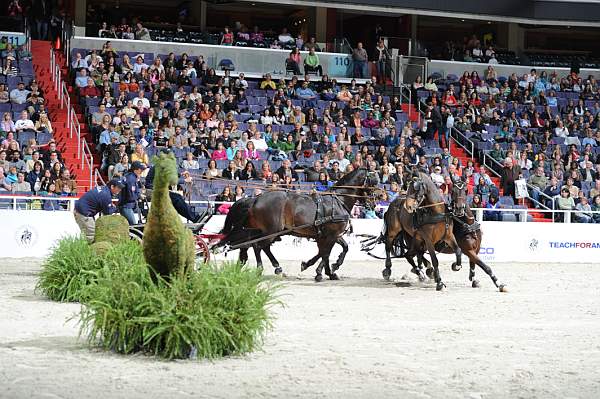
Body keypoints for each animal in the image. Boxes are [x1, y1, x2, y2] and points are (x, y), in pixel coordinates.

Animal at [218, 168, 378, 282]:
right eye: (372, 183)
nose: (373, 204)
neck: (338, 200)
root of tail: (255, 199)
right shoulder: (331, 235)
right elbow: (326, 253)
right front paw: (326, 271)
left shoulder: (328, 235)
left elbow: (336, 249)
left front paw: (325, 270)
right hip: (271, 231)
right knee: (259, 246)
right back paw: (265, 268)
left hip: (261, 230)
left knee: (256, 246)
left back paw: (273, 267)